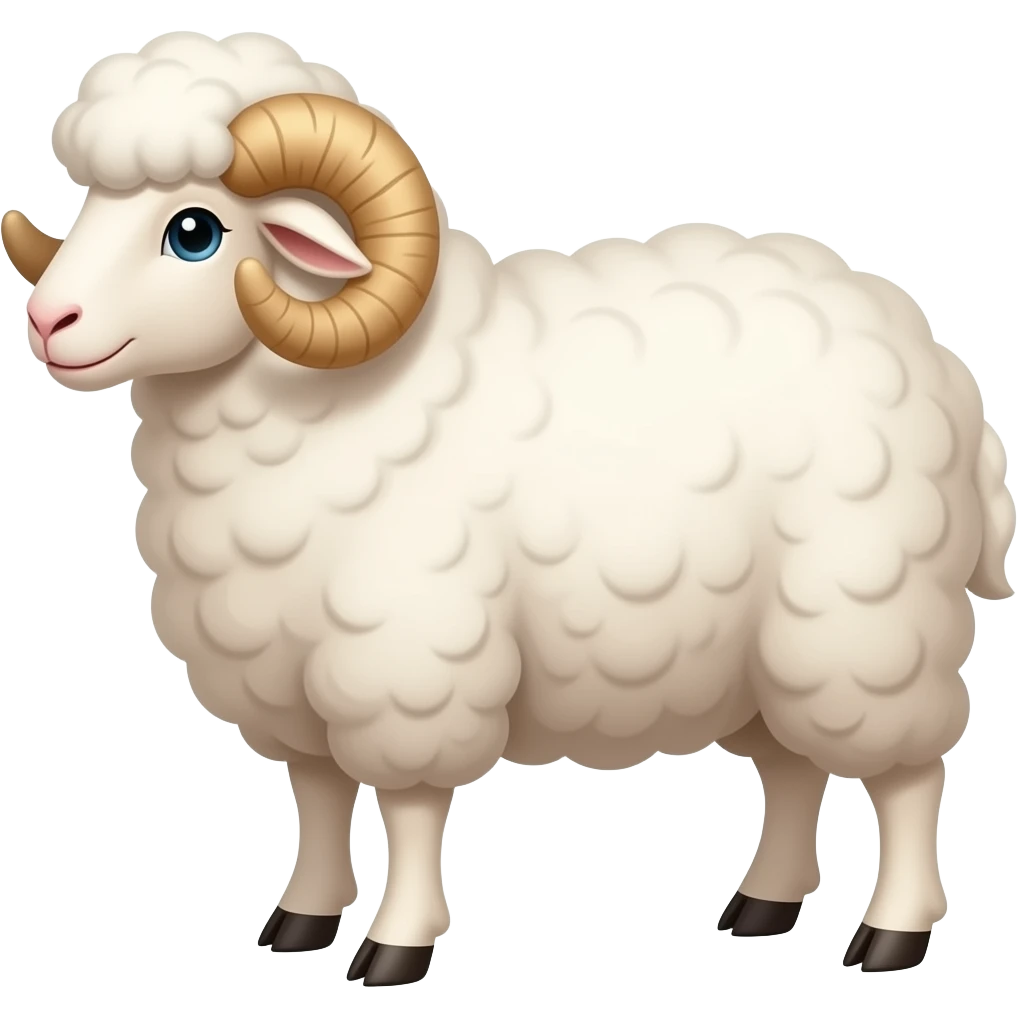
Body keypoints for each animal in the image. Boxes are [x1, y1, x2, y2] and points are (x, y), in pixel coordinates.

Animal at [4, 29, 1015, 987]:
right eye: (89, 202)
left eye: (193, 231)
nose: (49, 322)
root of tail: (935, 355)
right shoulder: (284, 673)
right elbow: (319, 796)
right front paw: (300, 920)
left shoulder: (407, 659)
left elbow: (409, 809)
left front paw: (396, 947)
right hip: (767, 653)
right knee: (795, 767)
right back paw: (762, 905)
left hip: (866, 623)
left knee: (909, 775)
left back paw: (892, 934)